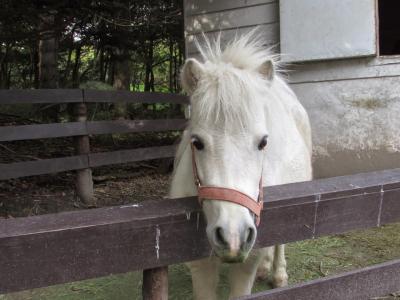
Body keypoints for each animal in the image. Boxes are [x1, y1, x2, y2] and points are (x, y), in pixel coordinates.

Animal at [169, 31, 312, 300]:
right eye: (196, 142)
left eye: (263, 142)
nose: (233, 237)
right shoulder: (200, 266)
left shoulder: (247, 261)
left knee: (280, 243)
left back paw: (278, 274)